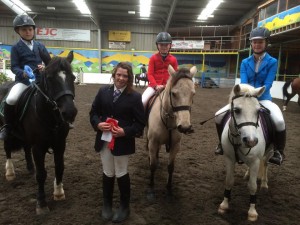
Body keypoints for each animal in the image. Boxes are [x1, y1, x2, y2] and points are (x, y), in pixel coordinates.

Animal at [0, 51, 77, 214]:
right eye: (49, 78)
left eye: (73, 77)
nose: (69, 112)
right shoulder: (38, 147)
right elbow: (41, 174)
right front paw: (41, 203)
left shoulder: (60, 144)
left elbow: (60, 167)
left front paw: (59, 192)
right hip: (6, 130)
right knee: (7, 148)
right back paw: (10, 172)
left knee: (25, 148)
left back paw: (30, 168)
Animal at [146, 64, 197, 199]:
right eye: (174, 94)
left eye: (193, 94)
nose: (185, 127)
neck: (168, 119)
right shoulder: (153, 142)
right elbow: (152, 165)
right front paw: (151, 185)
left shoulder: (175, 145)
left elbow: (171, 167)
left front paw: (169, 188)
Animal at [218, 84, 274, 221]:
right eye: (237, 110)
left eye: (258, 111)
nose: (251, 141)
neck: (238, 140)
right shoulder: (229, 159)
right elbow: (229, 180)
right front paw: (224, 205)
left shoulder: (255, 161)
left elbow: (252, 186)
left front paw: (252, 212)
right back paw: (248, 175)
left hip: (269, 151)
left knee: (265, 164)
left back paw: (264, 184)